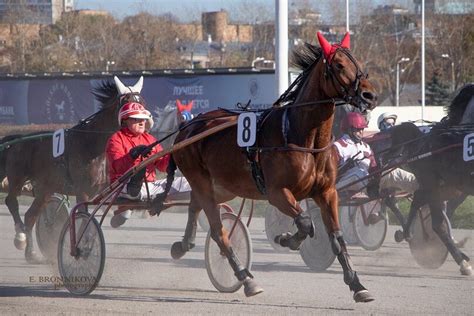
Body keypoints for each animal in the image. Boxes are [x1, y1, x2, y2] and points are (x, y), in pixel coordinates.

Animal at [0, 75, 144, 262]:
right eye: (127, 103)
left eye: (141, 102)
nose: (143, 121)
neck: (92, 145)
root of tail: (14, 141)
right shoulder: (82, 190)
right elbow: (83, 219)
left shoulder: (102, 188)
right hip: (18, 177)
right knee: (11, 201)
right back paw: (20, 237)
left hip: (45, 188)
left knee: (30, 215)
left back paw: (31, 253)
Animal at [163, 31, 378, 302]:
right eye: (339, 65)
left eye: (357, 62)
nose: (370, 96)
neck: (301, 136)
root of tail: (187, 127)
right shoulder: (277, 193)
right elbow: (305, 222)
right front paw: (287, 239)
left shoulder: (327, 192)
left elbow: (337, 238)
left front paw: (357, 284)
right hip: (200, 179)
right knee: (218, 231)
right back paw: (245, 278)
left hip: (223, 186)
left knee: (194, 205)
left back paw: (183, 245)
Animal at [386, 82, 472, 276]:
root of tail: (420, 140)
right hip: (434, 185)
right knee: (437, 223)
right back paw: (461, 262)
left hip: (446, 187)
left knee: (418, 199)